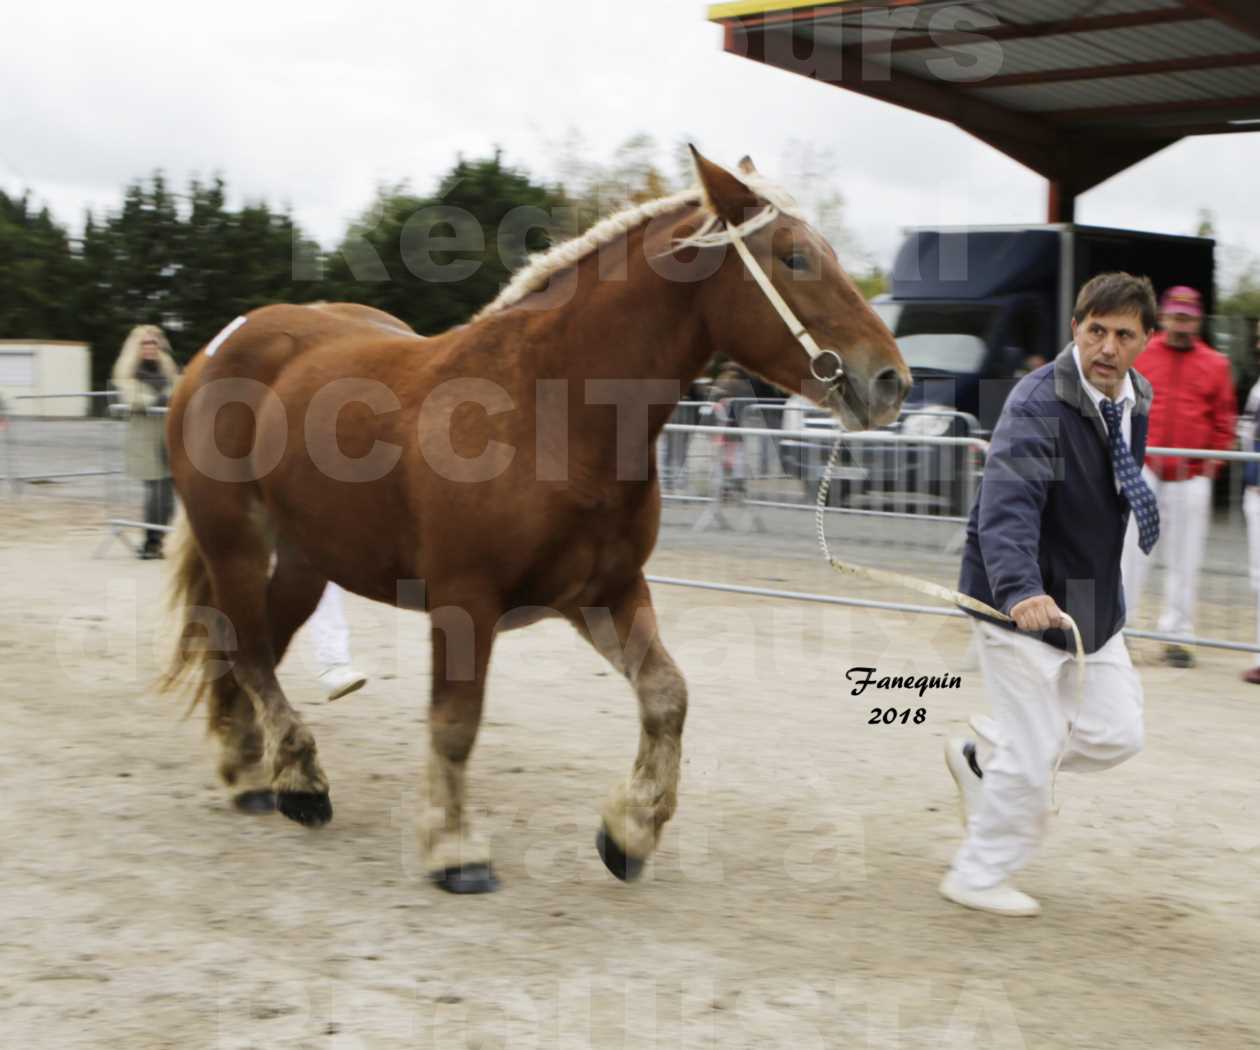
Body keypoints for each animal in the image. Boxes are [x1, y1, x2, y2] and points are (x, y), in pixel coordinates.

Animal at [162, 149, 912, 892]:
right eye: (794, 257)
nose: (891, 381)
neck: (549, 413)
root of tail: (221, 346)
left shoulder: (606, 592)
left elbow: (667, 696)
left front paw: (630, 831)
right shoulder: (465, 600)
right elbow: (456, 722)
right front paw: (454, 848)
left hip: (306, 560)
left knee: (253, 647)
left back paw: (255, 768)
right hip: (235, 542)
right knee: (247, 648)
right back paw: (296, 779)